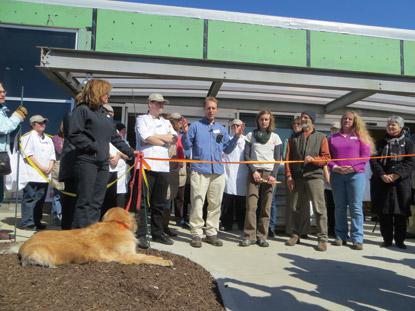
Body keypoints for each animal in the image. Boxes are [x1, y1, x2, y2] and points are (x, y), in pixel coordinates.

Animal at [18, 207, 172, 268]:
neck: (115, 223)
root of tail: (23, 245)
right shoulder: (128, 256)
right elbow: (148, 257)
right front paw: (165, 261)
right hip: (43, 253)